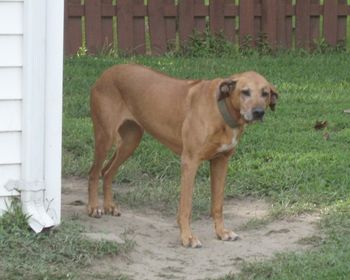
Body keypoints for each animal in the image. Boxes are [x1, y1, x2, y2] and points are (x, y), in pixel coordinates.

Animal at [88, 63, 278, 247]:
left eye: (265, 93)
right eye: (245, 92)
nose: (258, 112)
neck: (220, 110)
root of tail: (106, 73)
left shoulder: (221, 161)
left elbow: (218, 205)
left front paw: (221, 232)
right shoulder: (190, 162)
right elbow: (186, 207)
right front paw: (187, 237)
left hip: (130, 141)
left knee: (107, 172)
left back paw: (109, 206)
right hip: (105, 137)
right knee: (94, 172)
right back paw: (93, 207)